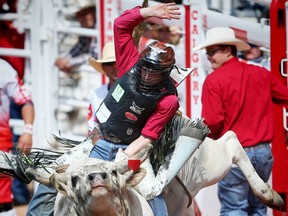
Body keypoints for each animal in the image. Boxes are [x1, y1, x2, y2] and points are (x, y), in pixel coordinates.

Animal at [0, 115, 284, 215]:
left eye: (113, 172)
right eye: (73, 179)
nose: (98, 177)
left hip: (207, 162)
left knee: (232, 141)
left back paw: (270, 196)